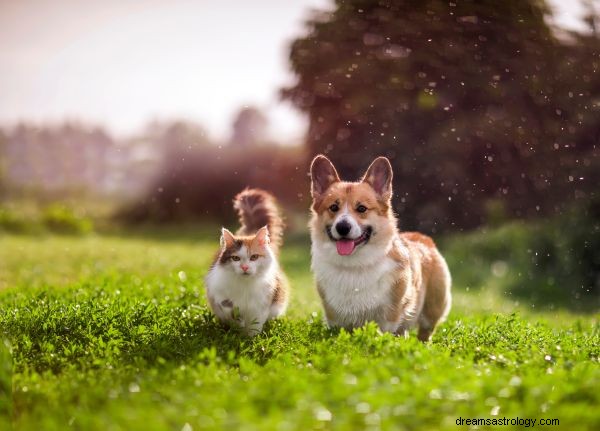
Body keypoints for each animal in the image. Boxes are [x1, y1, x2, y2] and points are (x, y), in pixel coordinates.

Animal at [205, 189, 290, 338]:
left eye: (254, 257)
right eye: (235, 258)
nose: (244, 267)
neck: (245, 285)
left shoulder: (261, 304)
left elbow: (255, 325)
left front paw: (250, 338)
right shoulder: (217, 292)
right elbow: (228, 308)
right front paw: (237, 325)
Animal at [310, 155, 450, 340]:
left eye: (361, 208)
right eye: (333, 207)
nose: (342, 227)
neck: (354, 265)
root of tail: (423, 238)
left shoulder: (389, 316)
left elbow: (384, 333)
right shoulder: (335, 318)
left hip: (432, 309)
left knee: (425, 333)